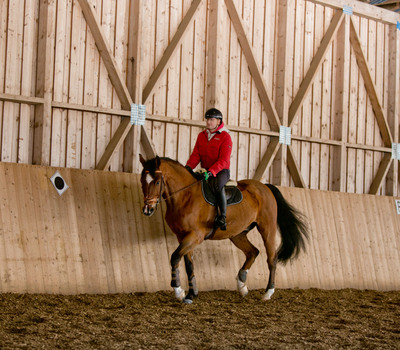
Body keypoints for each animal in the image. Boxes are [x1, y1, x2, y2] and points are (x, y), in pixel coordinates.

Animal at [139, 154, 308, 302]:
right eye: (142, 181)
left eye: (156, 182)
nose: (147, 210)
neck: (186, 196)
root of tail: (264, 187)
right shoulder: (183, 237)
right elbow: (188, 264)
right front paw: (191, 294)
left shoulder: (195, 236)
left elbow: (174, 257)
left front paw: (179, 291)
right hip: (237, 234)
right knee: (252, 252)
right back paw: (242, 285)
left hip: (267, 228)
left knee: (271, 258)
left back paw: (268, 293)